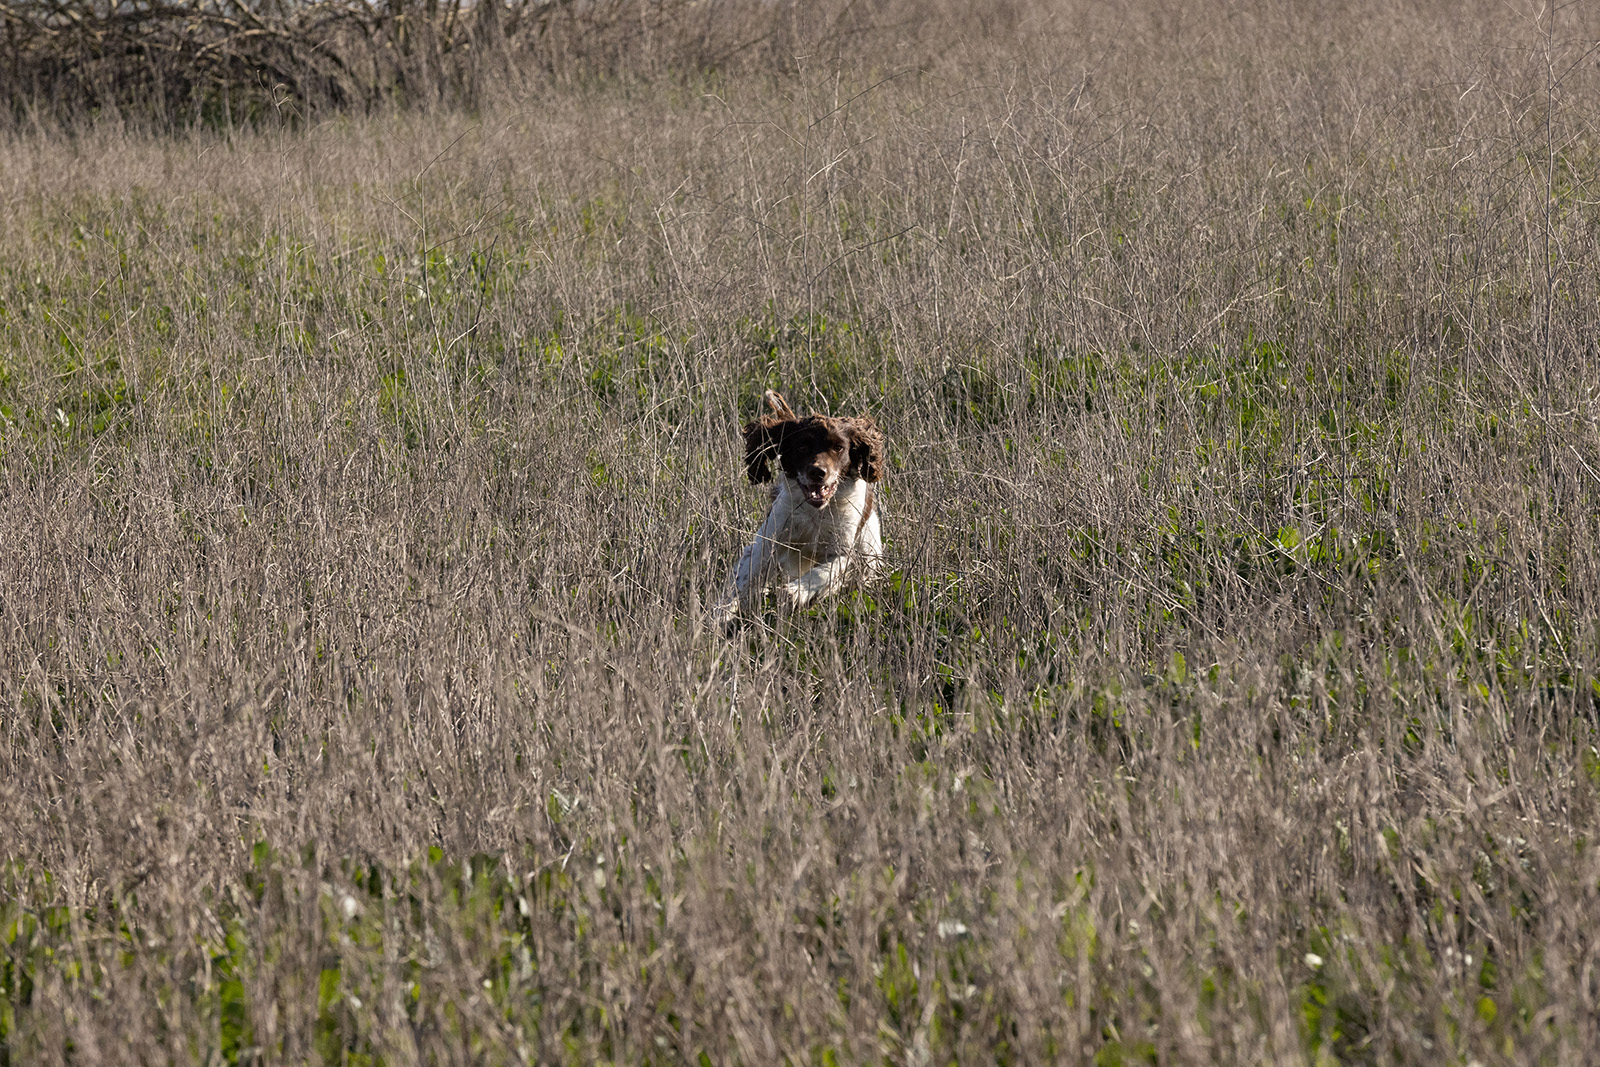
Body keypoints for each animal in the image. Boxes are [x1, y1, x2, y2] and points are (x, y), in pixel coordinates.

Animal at [716, 391, 889, 627]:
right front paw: (719, 616)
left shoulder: (843, 551)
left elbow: (823, 573)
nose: (818, 472)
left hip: (869, 549)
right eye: (801, 447)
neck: (816, 512)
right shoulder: (767, 541)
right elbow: (741, 580)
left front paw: (795, 592)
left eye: (838, 447)